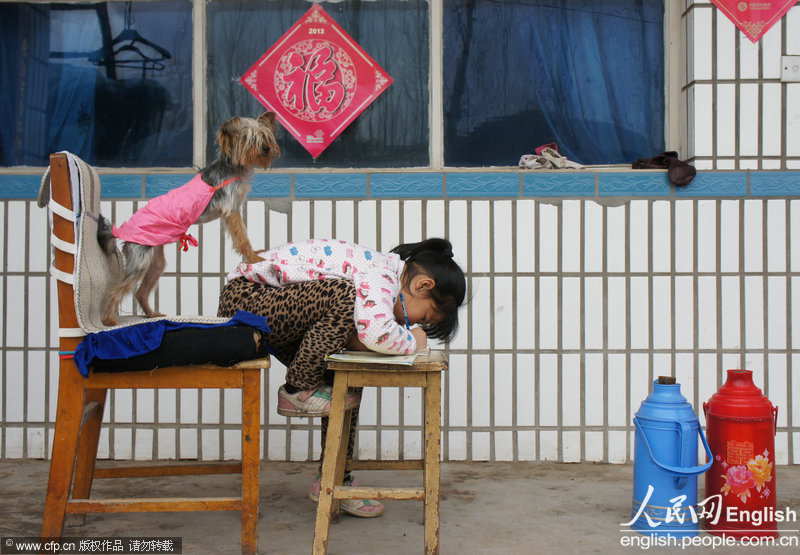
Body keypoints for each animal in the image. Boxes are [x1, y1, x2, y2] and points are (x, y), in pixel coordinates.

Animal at [100, 112, 282, 326]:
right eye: (249, 139)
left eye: (265, 136)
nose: (266, 149)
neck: (233, 168)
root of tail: (121, 230)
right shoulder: (231, 210)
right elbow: (242, 237)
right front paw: (253, 257)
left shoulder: (233, 209)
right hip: (140, 258)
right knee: (115, 289)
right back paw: (109, 320)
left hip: (155, 260)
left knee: (141, 291)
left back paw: (151, 314)